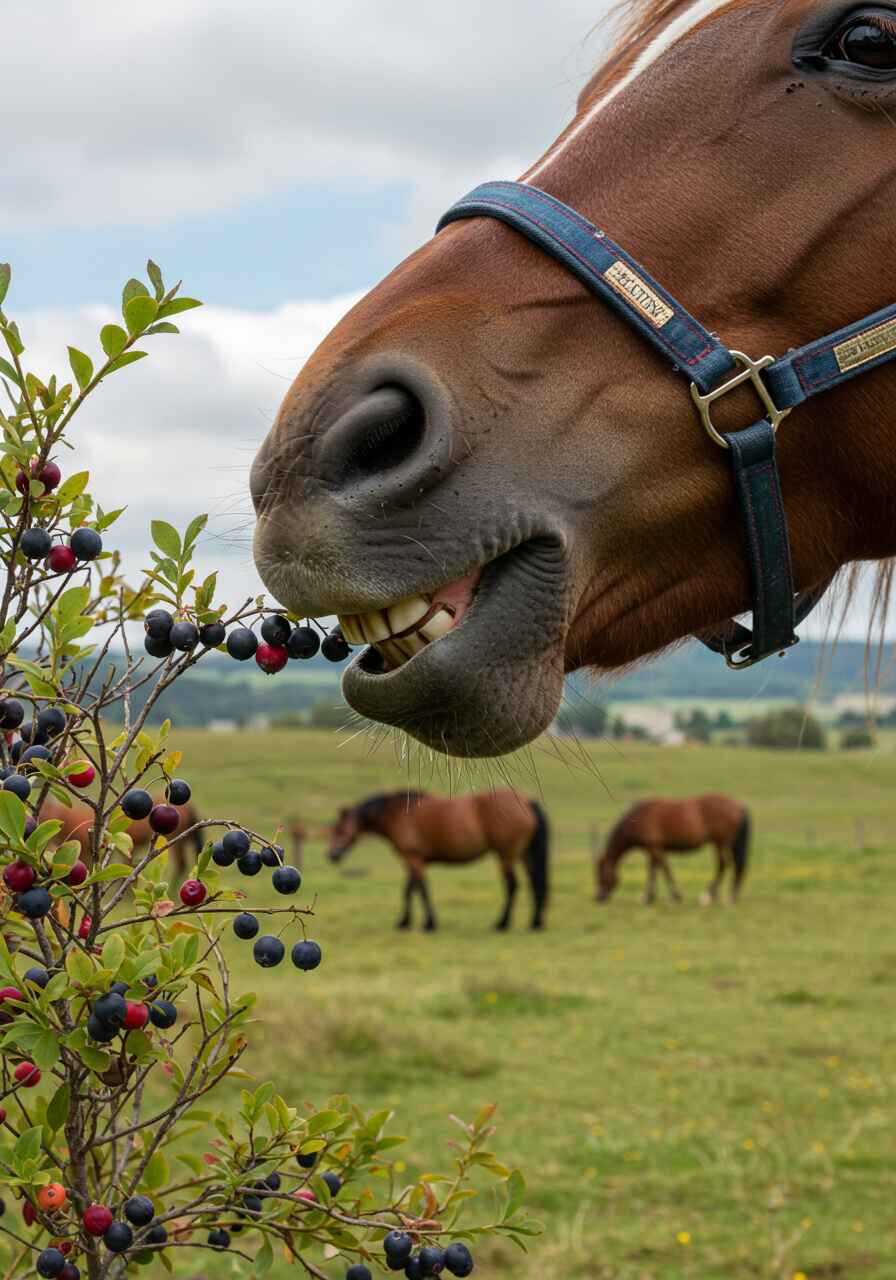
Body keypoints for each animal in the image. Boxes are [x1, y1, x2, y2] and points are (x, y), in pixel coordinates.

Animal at [325, 789, 549, 931]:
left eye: (340, 829)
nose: (331, 856)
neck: (398, 814)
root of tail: (527, 801)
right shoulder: (413, 861)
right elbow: (409, 890)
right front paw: (404, 922)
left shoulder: (413, 857)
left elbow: (421, 889)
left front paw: (428, 923)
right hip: (523, 854)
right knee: (534, 884)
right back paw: (535, 922)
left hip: (506, 854)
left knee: (512, 885)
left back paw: (502, 923)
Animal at [595, 794, 750, 906]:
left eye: (600, 873)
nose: (598, 898)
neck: (638, 818)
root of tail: (738, 805)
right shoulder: (653, 849)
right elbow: (654, 870)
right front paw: (650, 897)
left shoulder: (654, 847)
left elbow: (663, 869)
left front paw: (673, 896)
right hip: (722, 843)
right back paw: (728, 895)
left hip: (719, 842)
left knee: (722, 865)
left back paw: (707, 896)